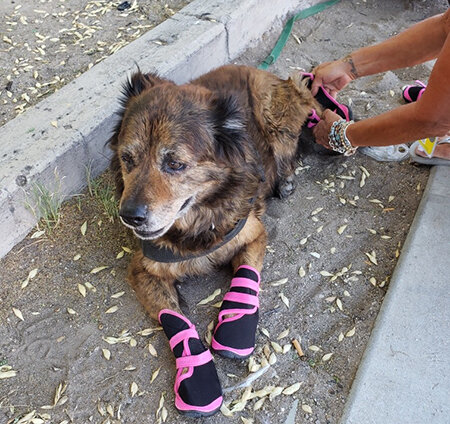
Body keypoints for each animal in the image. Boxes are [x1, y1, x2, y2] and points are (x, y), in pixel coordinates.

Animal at [109, 64, 320, 320]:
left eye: (175, 164)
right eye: (127, 158)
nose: (130, 217)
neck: (199, 224)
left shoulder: (253, 235)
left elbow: (243, 289)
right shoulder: (143, 269)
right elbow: (171, 313)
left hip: (275, 116)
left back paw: (285, 180)